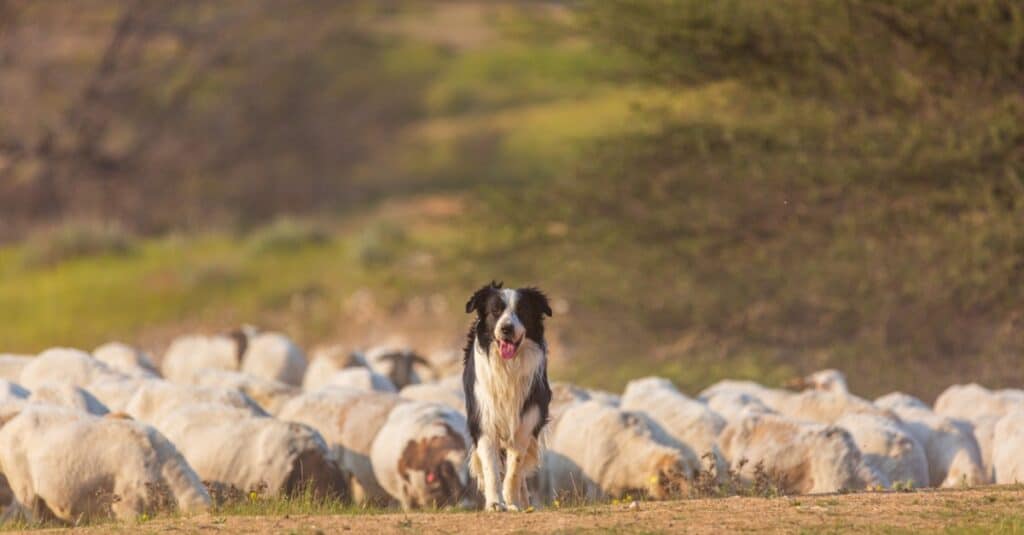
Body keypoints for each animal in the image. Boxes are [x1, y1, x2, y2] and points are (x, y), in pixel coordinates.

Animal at [464, 278, 552, 508]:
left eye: (522, 310)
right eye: (495, 311)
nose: (506, 329)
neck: (508, 366)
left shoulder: (526, 421)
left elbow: (514, 470)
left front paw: (512, 501)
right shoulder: (484, 419)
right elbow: (491, 468)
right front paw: (495, 503)